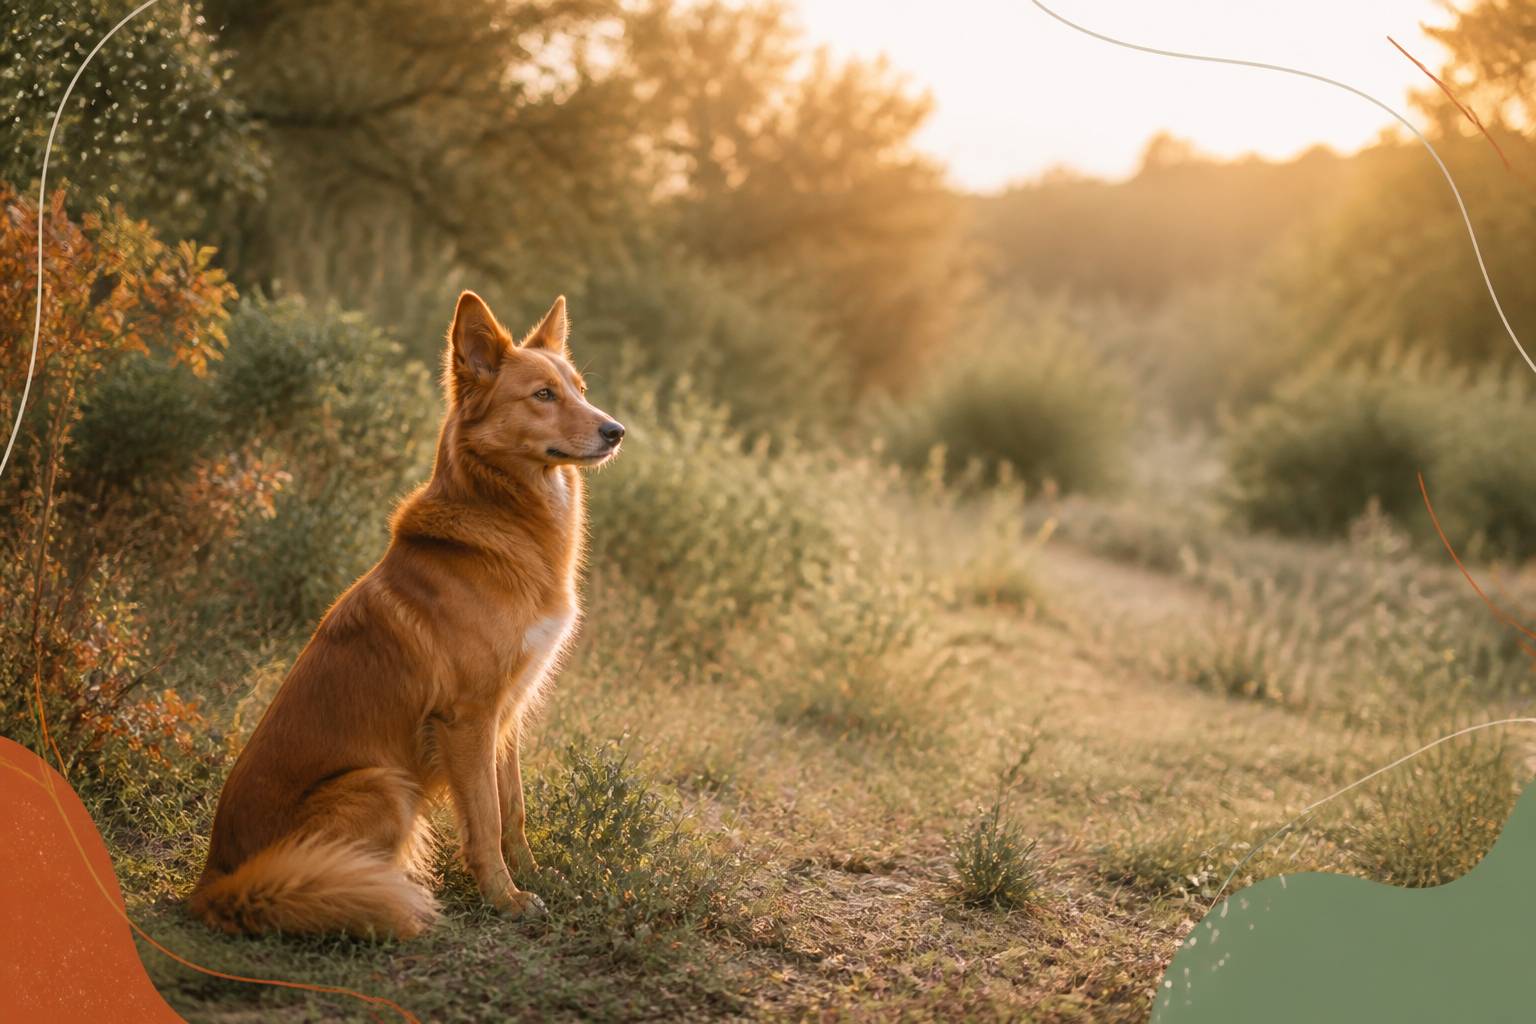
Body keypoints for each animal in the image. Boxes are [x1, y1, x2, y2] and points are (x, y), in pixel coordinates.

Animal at [189, 291, 624, 938]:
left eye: (578, 388)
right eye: (543, 395)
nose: (616, 431)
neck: (502, 519)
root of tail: (215, 880)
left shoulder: (507, 713)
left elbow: (513, 808)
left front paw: (537, 878)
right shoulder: (467, 717)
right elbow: (486, 819)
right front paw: (505, 899)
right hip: (383, 784)